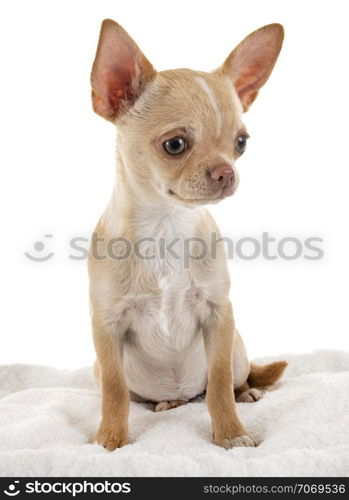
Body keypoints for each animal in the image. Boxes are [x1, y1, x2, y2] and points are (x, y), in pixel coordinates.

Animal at [89, 19, 286, 452]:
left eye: (241, 143)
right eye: (175, 144)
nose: (228, 172)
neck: (167, 227)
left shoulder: (218, 315)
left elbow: (218, 387)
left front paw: (231, 433)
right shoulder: (107, 327)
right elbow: (114, 391)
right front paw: (110, 438)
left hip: (238, 349)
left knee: (229, 380)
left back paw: (247, 391)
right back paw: (168, 403)